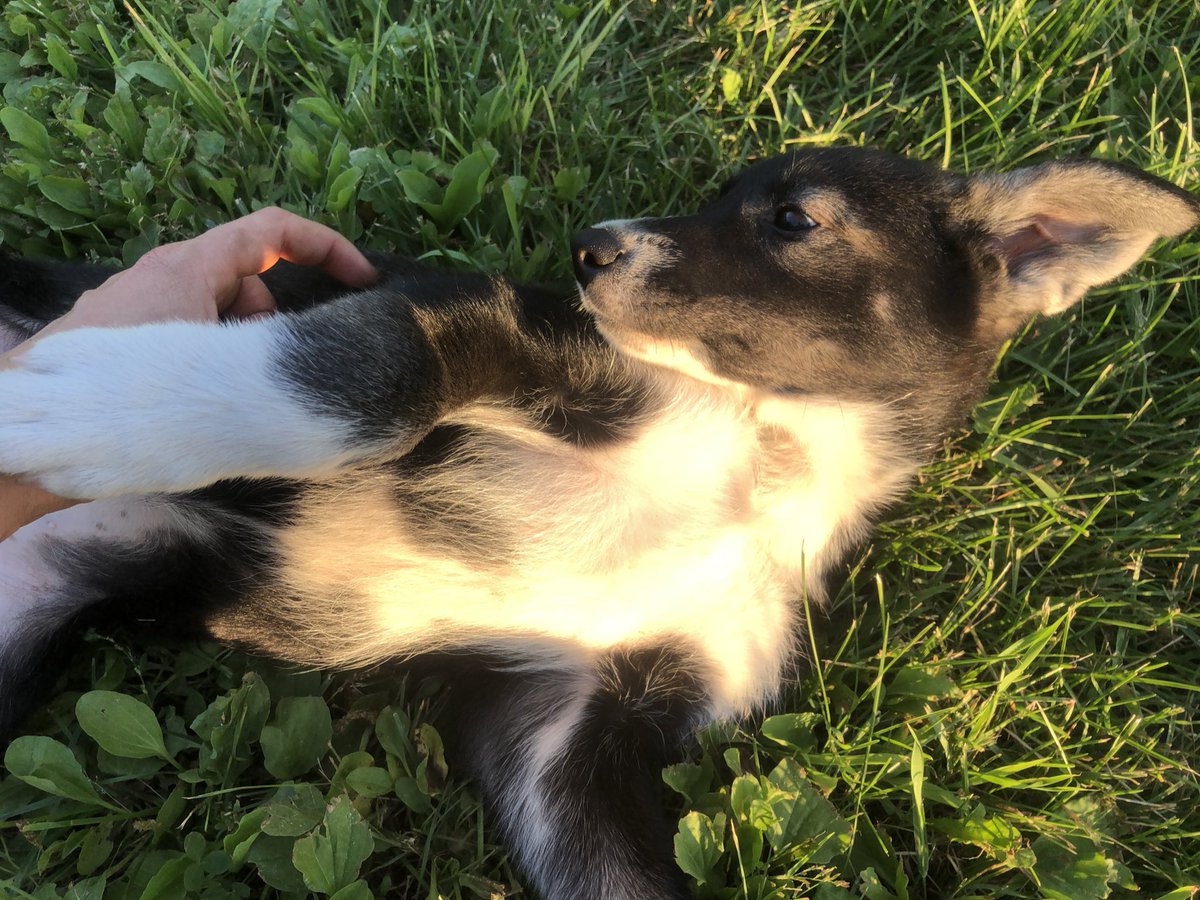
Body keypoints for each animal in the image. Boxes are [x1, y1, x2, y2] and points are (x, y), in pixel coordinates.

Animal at [0, 150, 1195, 900]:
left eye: (795, 217)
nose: (589, 245)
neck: (758, 468)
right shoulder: (493, 330)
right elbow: (369, 378)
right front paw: (96, 404)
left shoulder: (564, 743)